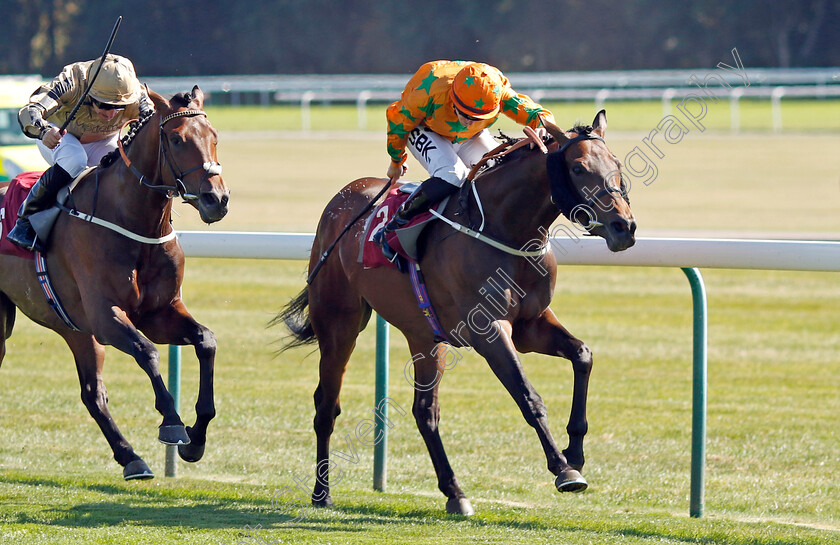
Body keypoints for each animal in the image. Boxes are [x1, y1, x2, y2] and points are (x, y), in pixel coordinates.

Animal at [0, 86, 228, 480]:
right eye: (177, 139)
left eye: (214, 137)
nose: (216, 199)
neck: (134, 221)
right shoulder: (106, 316)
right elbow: (147, 352)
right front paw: (172, 423)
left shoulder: (158, 313)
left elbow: (205, 340)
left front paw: (196, 438)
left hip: (76, 331)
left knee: (93, 394)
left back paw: (130, 457)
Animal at [278, 110, 636, 516]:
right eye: (577, 168)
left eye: (617, 165)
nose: (624, 227)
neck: (505, 229)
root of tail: (342, 199)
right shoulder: (488, 330)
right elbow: (528, 397)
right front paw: (564, 469)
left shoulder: (530, 325)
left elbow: (582, 355)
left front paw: (574, 451)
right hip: (339, 323)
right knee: (326, 404)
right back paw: (321, 492)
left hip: (424, 334)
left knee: (424, 411)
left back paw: (454, 492)